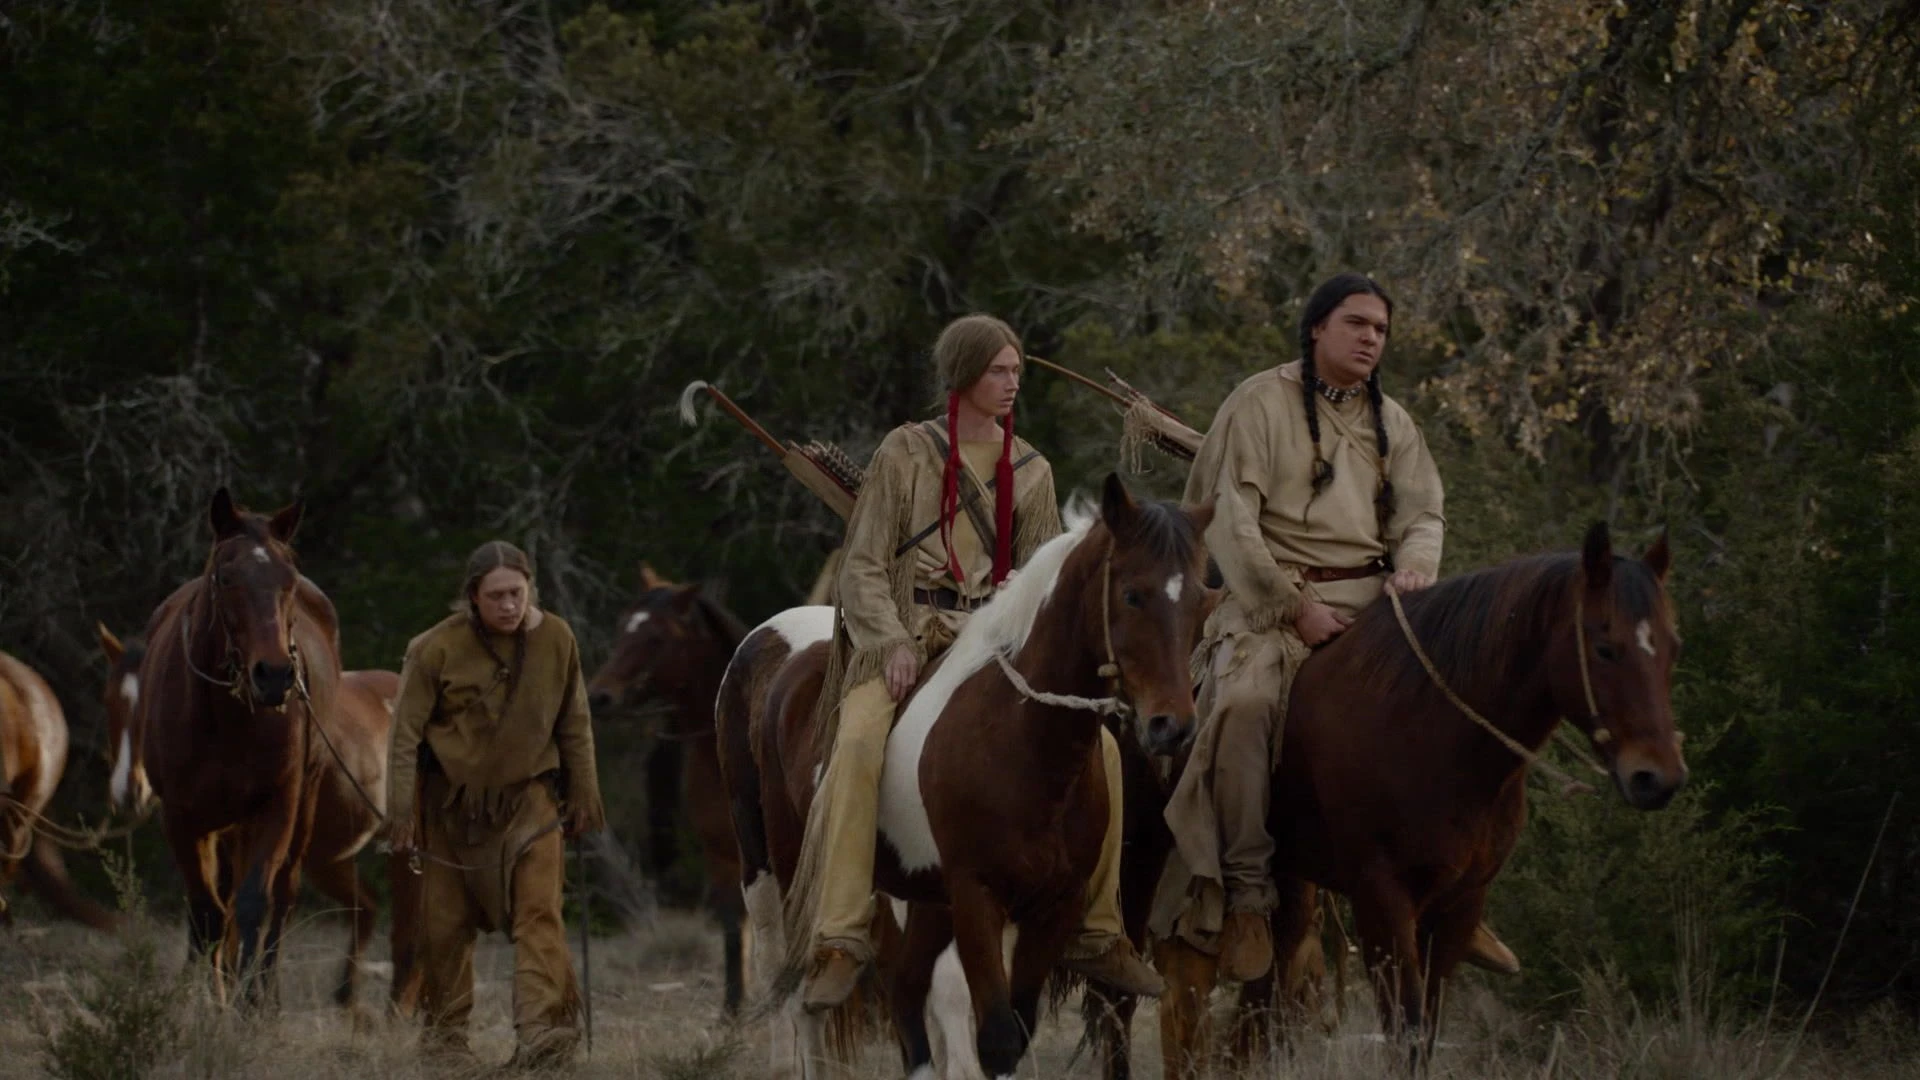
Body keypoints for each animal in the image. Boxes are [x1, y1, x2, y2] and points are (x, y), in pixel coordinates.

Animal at [97, 624, 423, 1012]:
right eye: (110, 701)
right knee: (366, 907)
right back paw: (347, 999)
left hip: (398, 851)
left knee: (406, 937)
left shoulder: (246, 837)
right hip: (328, 858)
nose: (128, 790)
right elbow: (212, 912)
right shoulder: (217, 839)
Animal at [131, 487, 344, 1006]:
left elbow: (252, 902)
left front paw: (250, 1002)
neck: (226, 716)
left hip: (301, 801)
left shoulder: (276, 806)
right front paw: (208, 998)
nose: (275, 674)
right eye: (226, 576)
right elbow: (206, 911)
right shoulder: (182, 817)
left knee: (282, 894)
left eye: (289, 578)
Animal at [585, 564, 750, 1014]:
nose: (598, 697)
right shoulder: (721, 852)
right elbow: (734, 923)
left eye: (656, 637)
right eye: (622, 626)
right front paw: (732, 1011)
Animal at [719, 474, 1215, 1080]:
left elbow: (1011, 1028)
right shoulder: (976, 896)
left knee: (905, 987)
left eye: (1200, 598)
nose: (1173, 726)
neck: (1023, 745)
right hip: (779, 876)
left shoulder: (1053, 905)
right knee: (796, 990)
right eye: (1133, 594)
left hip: (922, 897)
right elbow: (994, 1034)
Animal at [1156, 523, 1686, 1073]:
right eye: (1605, 647)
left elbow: (1425, 1032)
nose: (1657, 776)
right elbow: (1406, 1035)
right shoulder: (1382, 902)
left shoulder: (1460, 905)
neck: (1430, 730)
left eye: (1673, 647)